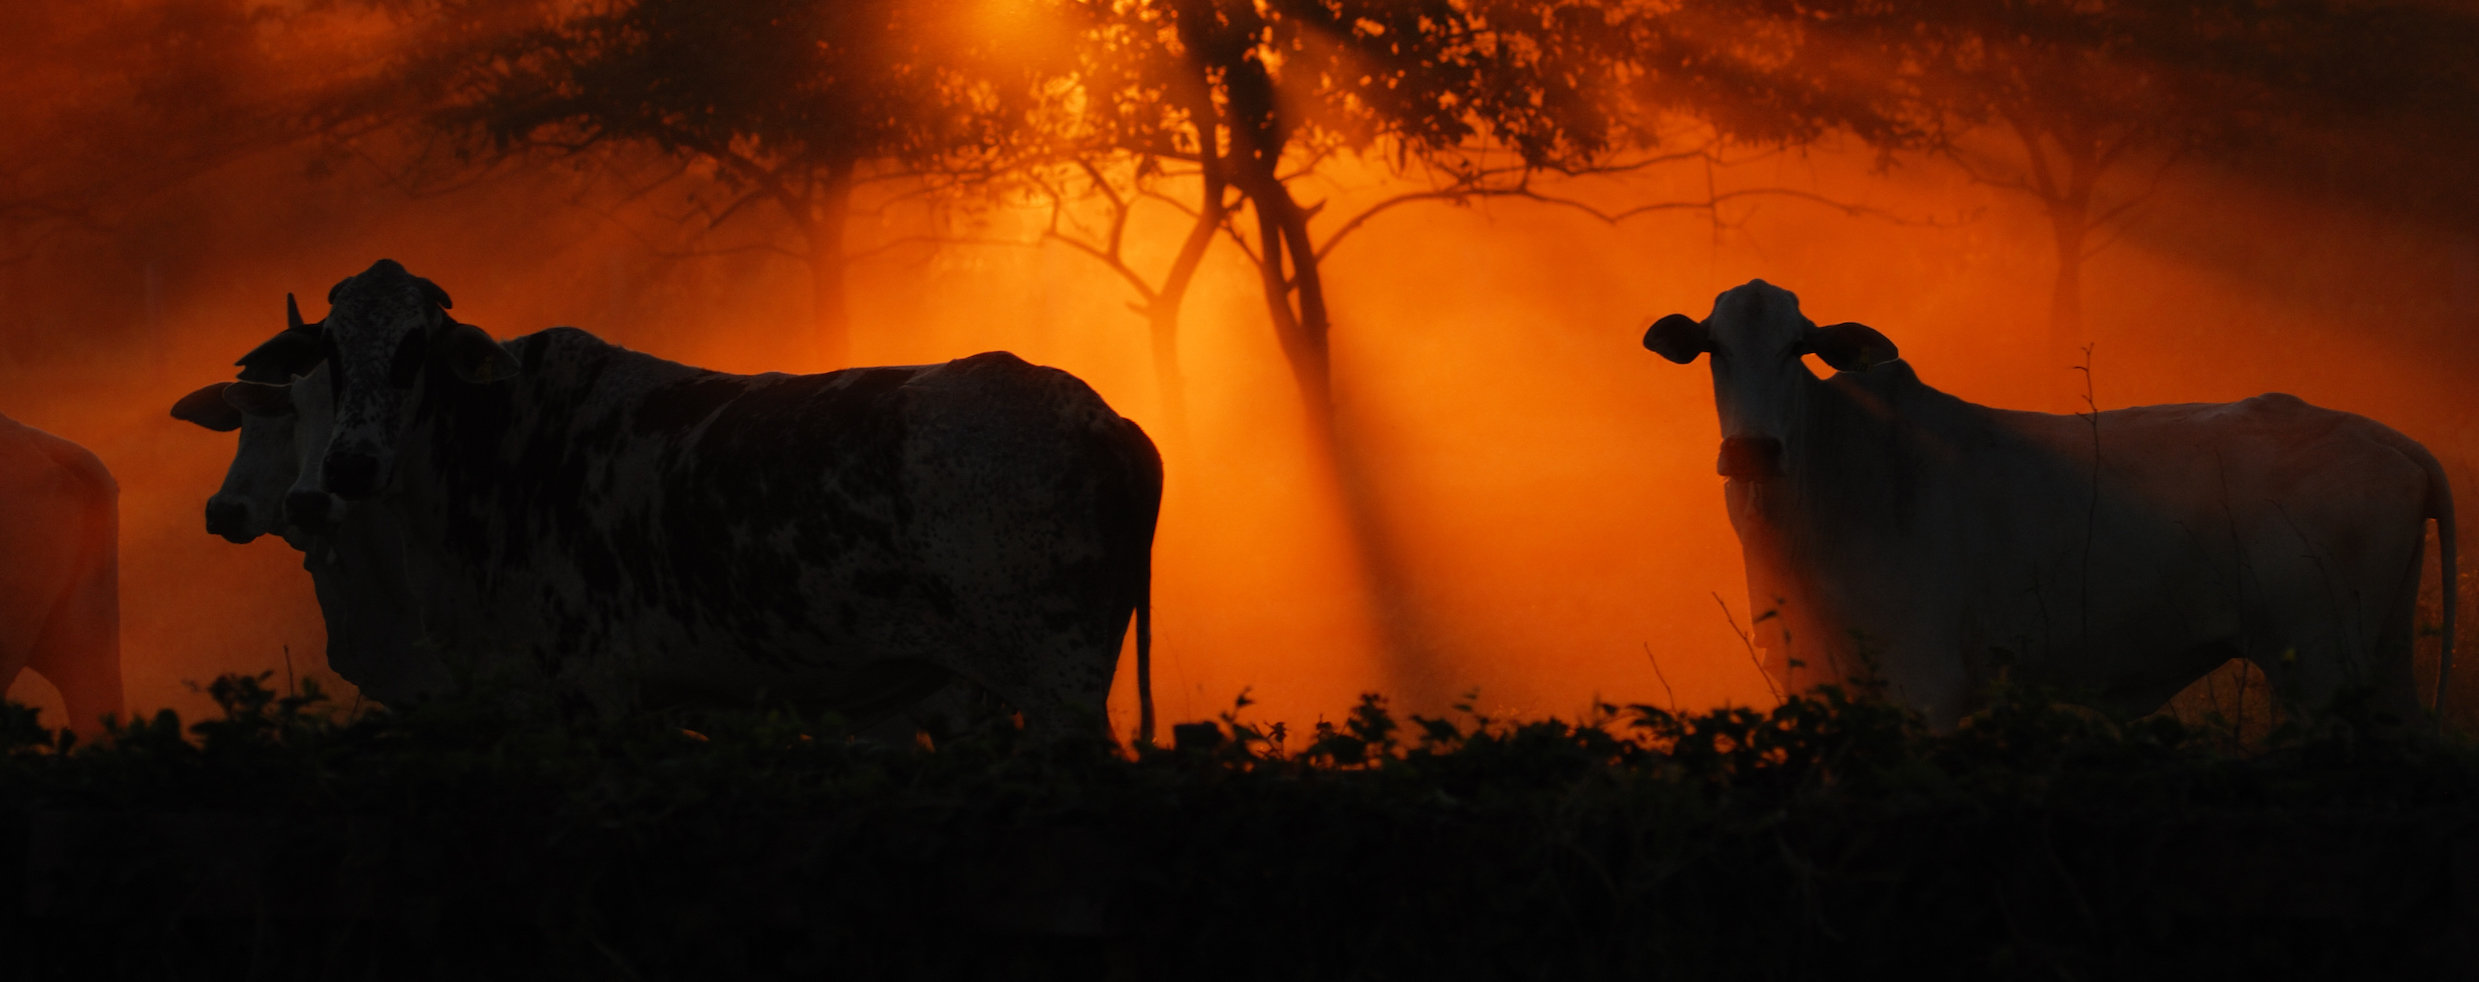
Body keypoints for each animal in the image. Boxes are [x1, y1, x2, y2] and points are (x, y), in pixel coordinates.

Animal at [187, 260, 1161, 745]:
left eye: (414, 348)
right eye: (331, 351)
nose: (345, 469)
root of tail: (1111, 424)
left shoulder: (591, 697)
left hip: (1054, 686)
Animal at [1645, 279, 2456, 728]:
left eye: (1796, 348)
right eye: (1714, 348)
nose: (1751, 452)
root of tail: (2390, 437)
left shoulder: (1923, 684)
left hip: (2322, 666)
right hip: (2379, 655)